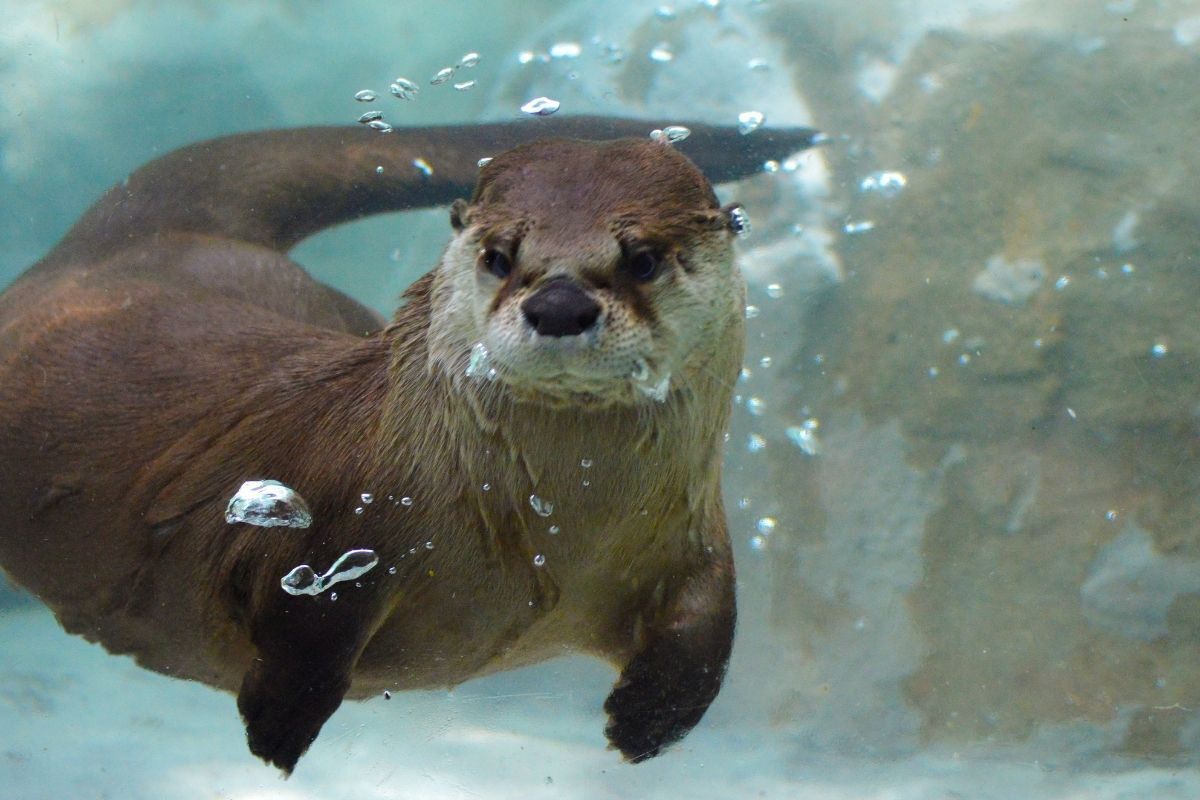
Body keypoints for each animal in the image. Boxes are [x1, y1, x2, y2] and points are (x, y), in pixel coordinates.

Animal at [0, 115, 820, 772]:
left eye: (643, 258)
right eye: (499, 254)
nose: (559, 303)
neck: (555, 534)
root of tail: (128, 244)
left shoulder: (691, 536)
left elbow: (710, 626)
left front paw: (648, 721)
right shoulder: (330, 518)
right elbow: (302, 621)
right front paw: (280, 722)